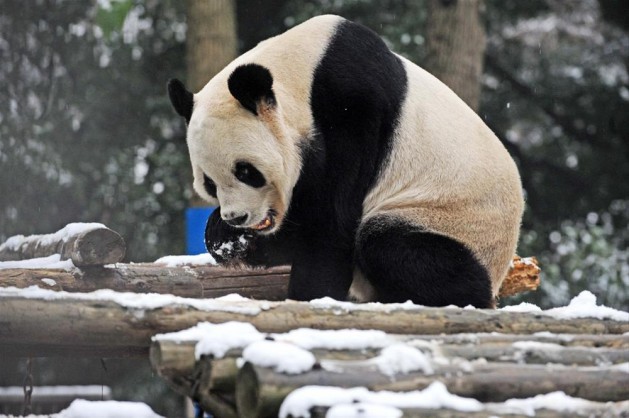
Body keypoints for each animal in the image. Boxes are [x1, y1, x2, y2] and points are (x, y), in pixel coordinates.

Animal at [168, 14, 524, 308]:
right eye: (209, 184)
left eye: (245, 171)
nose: (238, 217)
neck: (301, 72)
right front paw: (226, 236)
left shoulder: (353, 108)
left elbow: (333, 219)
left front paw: (311, 295)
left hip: (448, 219)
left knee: (393, 246)